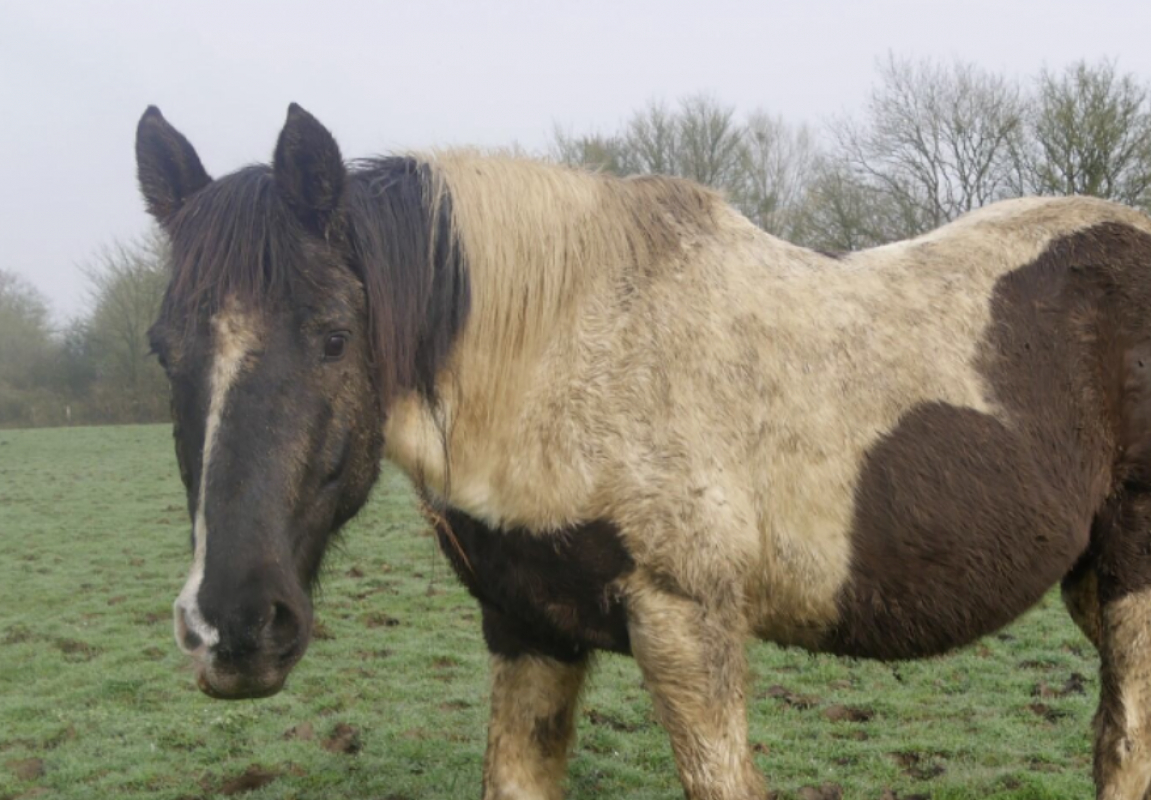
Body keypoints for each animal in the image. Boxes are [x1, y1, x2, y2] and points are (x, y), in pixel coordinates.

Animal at [137, 103, 1151, 800]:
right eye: (162, 348)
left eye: (335, 336)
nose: (231, 627)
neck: (569, 358)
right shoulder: (527, 630)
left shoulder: (686, 626)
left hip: (1130, 578)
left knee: (1122, 748)